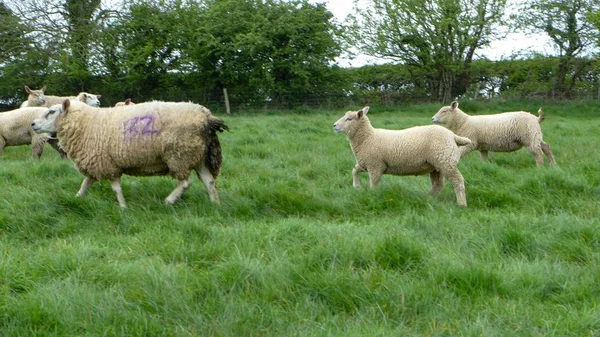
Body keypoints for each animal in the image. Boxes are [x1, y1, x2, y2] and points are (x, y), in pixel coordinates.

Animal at [32, 98, 230, 206]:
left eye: (51, 111)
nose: (32, 124)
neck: (86, 123)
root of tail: (206, 116)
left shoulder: (107, 164)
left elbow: (116, 188)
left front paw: (122, 207)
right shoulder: (96, 164)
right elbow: (85, 185)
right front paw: (76, 198)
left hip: (179, 155)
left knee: (185, 182)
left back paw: (168, 201)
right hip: (198, 156)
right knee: (209, 181)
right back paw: (215, 204)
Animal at [336, 106, 472, 206]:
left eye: (349, 119)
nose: (334, 125)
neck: (367, 138)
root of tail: (453, 136)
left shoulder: (375, 165)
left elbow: (373, 183)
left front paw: (372, 196)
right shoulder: (365, 163)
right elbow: (354, 170)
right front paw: (356, 186)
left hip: (446, 161)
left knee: (457, 181)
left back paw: (461, 204)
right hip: (437, 165)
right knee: (437, 185)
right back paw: (427, 198)